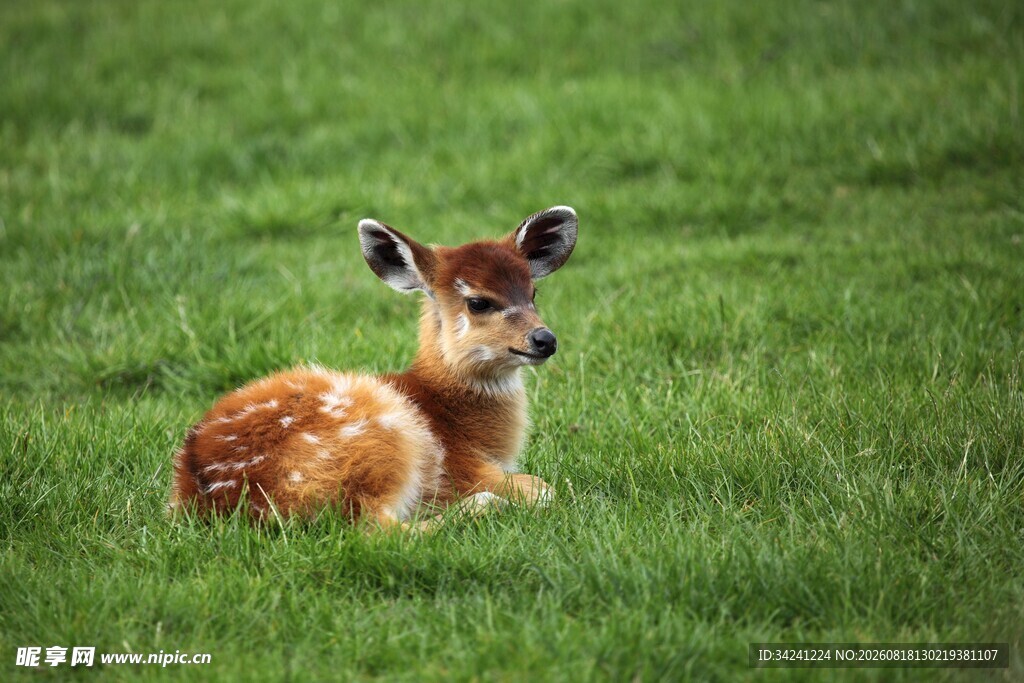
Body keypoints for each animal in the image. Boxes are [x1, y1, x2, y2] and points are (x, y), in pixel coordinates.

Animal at [169, 206, 578, 531]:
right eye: (478, 302)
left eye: (533, 293)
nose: (545, 339)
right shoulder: (465, 469)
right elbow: (545, 488)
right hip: (384, 441)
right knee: (377, 528)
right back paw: (483, 507)